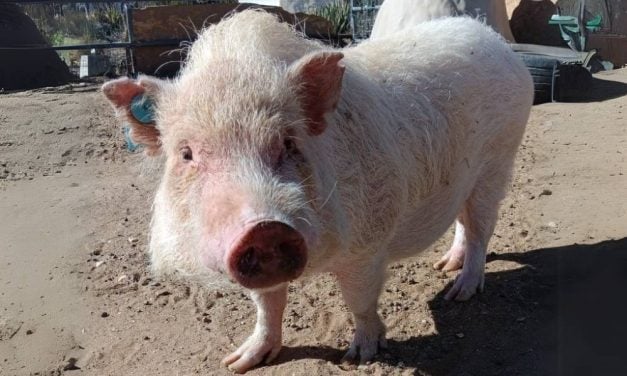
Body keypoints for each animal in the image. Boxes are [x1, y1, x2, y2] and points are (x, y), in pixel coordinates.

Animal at [103, 8, 536, 374]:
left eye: (288, 142)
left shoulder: (367, 245)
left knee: (481, 229)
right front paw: (239, 362)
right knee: (463, 221)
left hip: (499, 161)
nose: (264, 228)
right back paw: (443, 266)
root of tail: (496, 42)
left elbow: (360, 300)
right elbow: (267, 305)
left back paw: (460, 292)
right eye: (187, 153)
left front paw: (358, 356)